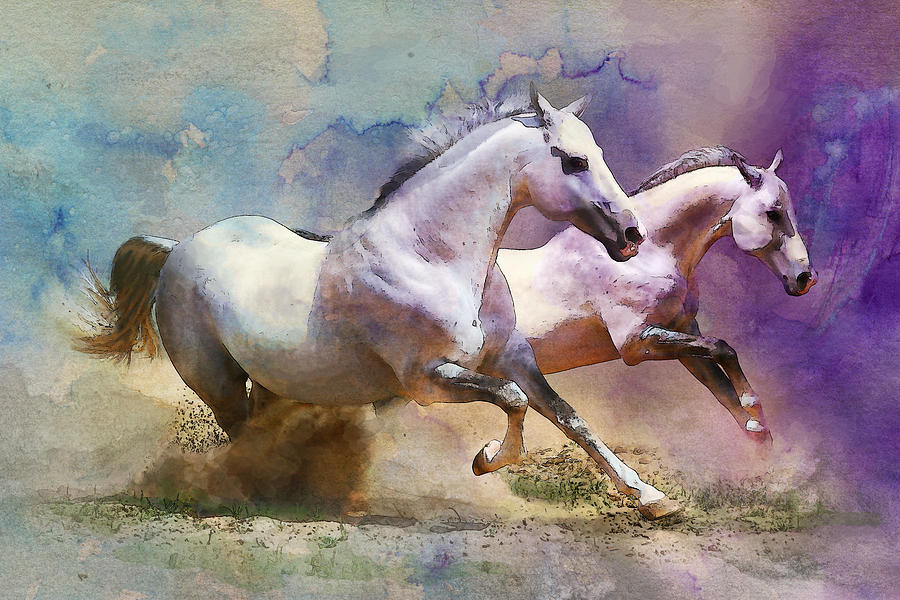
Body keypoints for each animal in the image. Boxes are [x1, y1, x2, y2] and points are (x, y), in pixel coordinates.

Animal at [78, 86, 681, 519]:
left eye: (598, 153)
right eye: (574, 161)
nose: (632, 236)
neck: (431, 256)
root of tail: (177, 248)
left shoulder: (514, 358)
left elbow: (569, 417)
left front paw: (651, 499)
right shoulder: (426, 379)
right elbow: (512, 402)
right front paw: (486, 459)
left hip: (273, 381)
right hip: (217, 381)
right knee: (242, 437)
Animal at [497, 146, 817, 446]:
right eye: (773, 212)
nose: (805, 278)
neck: (649, 255)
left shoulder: (683, 333)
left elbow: (726, 394)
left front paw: (758, 434)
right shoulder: (635, 344)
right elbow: (722, 348)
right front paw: (752, 405)